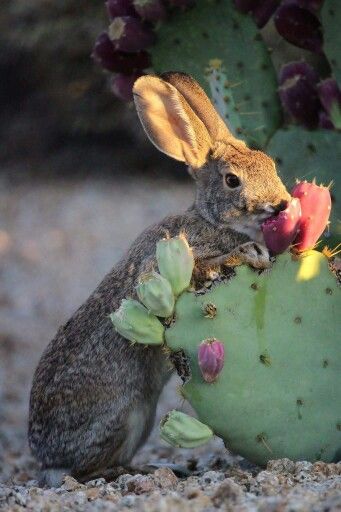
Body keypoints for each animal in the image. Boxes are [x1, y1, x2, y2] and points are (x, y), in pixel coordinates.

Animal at [28, 71, 290, 484]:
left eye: (270, 163)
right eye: (232, 180)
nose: (281, 203)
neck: (212, 220)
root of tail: (48, 461)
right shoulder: (163, 263)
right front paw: (248, 254)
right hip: (124, 416)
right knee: (86, 471)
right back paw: (146, 468)